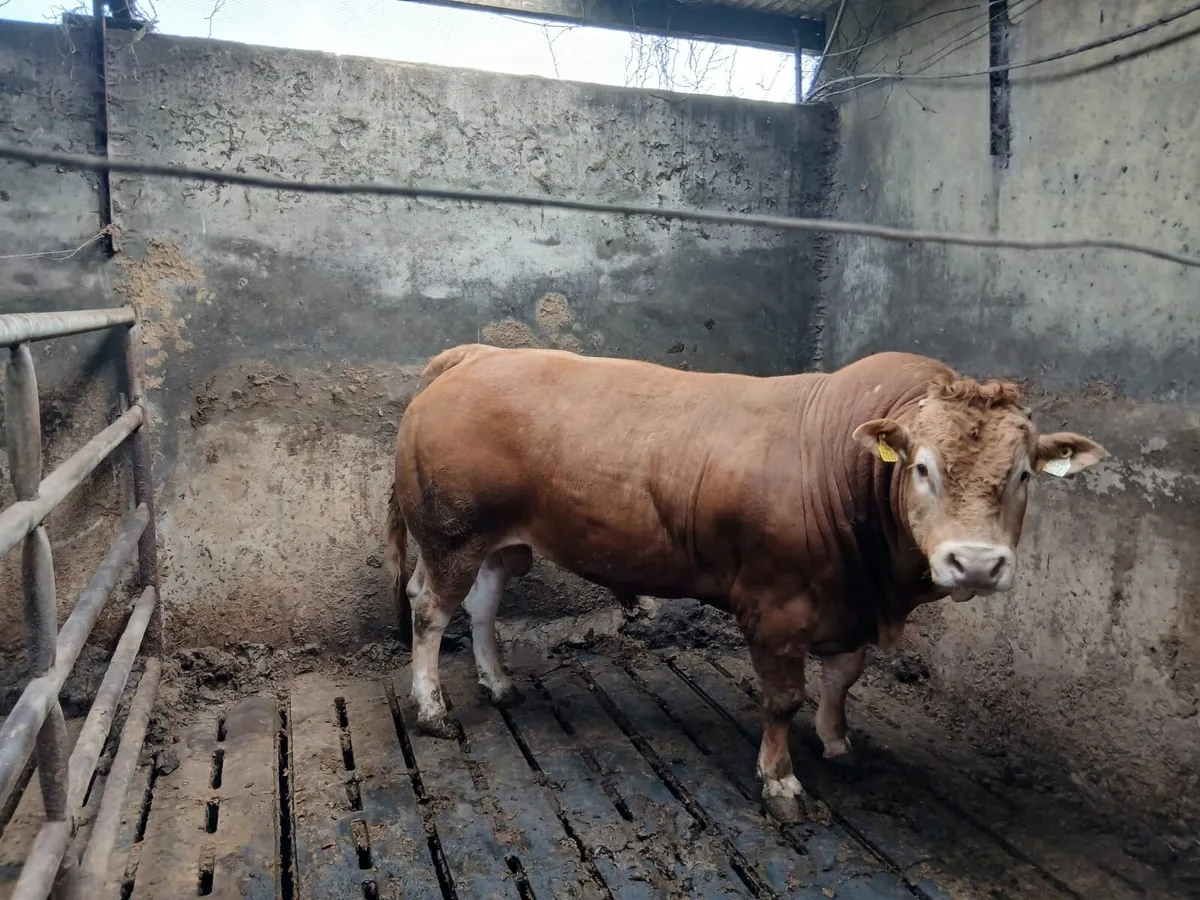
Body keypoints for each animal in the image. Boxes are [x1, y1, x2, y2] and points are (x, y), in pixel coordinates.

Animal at [385, 344, 1106, 821]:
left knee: (482, 604)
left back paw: (498, 681)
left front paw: (838, 740)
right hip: (451, 535)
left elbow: (844, 677)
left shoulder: (849, 604)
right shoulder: (777, 605)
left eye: (1022, 473)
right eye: (923, 467)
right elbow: (783, 698)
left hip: (500, 541)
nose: (976, 563)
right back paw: (432, 710)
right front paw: (781, 780)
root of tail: (478, 353)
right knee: (431, 610)